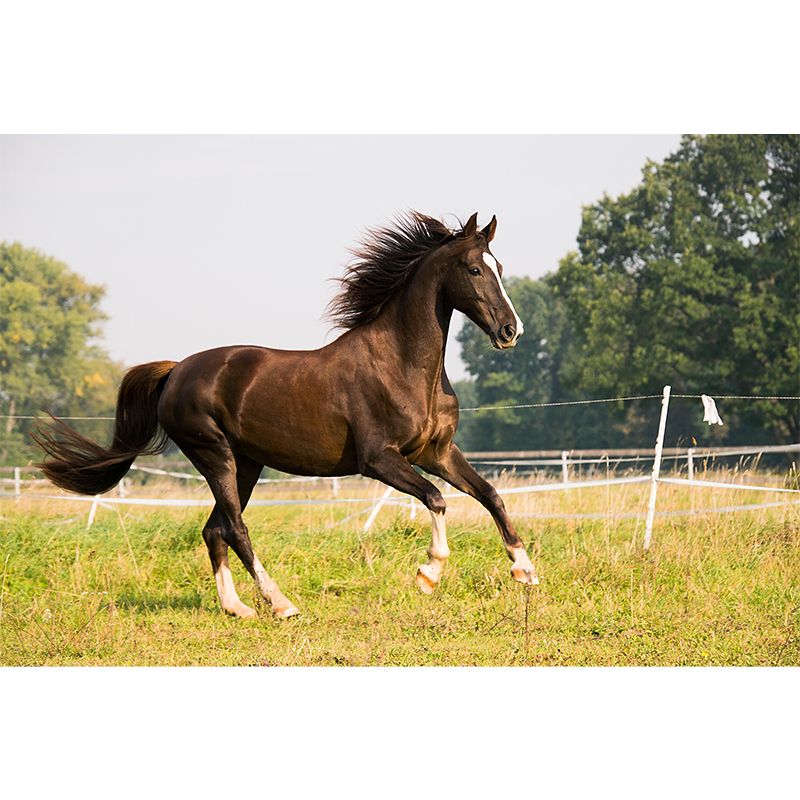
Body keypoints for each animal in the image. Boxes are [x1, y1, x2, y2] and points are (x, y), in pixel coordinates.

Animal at [33, 211, 539, 619]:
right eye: (474, 268)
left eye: (499, 267)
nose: (510, 331)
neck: (402, 365)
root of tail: (176, 370)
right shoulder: (379, 460)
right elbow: (436, 499)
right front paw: (428, 574)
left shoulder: (436, 452)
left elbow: (490, 494)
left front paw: (525, 570)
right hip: (214, 455)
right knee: (235, 528)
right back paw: (281, 604)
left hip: (247, 464)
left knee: (214, 530)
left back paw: (237, 608)